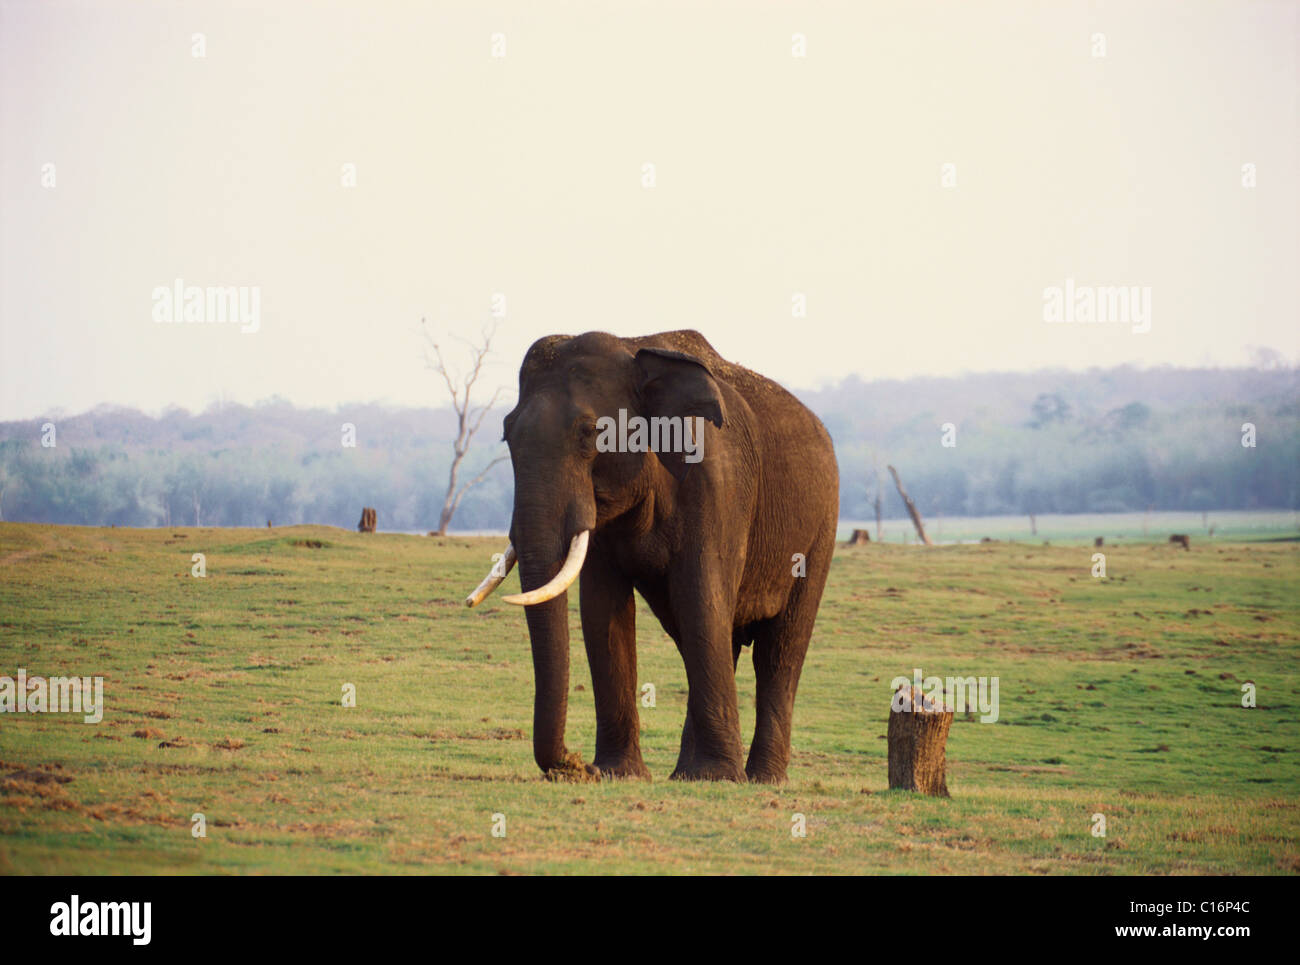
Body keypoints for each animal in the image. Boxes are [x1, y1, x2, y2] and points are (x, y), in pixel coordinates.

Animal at [467, 332, 842, 785]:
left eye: (591, 432)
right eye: (506, 434)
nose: (577, 766)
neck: (633, 350)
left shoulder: (717, 483)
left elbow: (701, 598)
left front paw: (719, 777)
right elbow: (602, 610)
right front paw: (619, 774)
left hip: (821, 529)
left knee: (779, 647)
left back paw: (759, 778)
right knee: (717, 639)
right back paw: (687, 775)